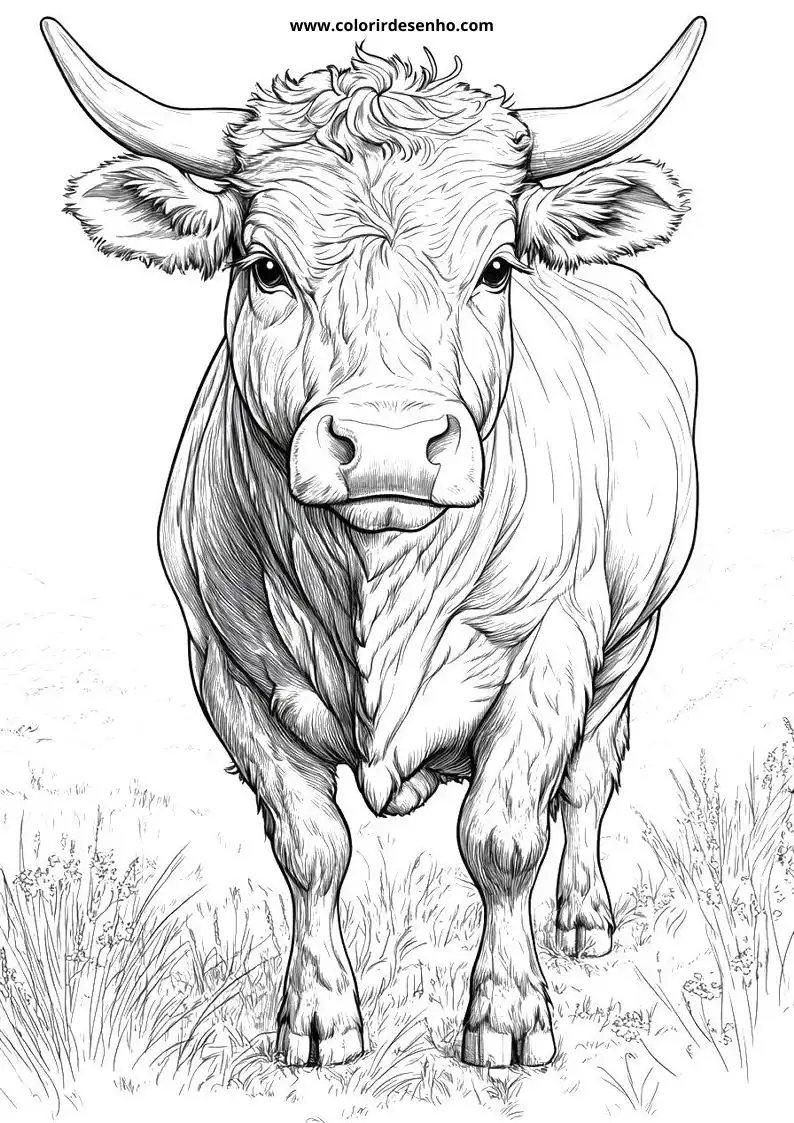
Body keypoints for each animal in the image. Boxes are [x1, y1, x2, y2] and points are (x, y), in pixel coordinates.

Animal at [43, 16, 704, 1069]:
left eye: (497, 267)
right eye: (265, 267)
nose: (391, 443)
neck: (374, 585)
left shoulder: (551, 651)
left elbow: (503, 836)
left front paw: (508, 1014)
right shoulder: (226, 669)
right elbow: (311, 845)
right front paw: (318, 1014)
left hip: (631, 641)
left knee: (588, 780)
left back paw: (584, 916)